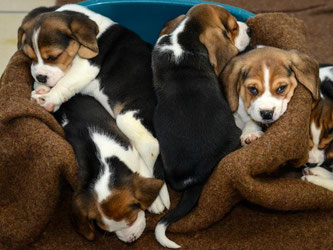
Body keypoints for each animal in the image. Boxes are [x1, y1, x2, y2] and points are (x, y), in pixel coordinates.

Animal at [17, 4, 169, 213]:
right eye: (29, 56)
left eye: (54, 57)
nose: (40, 77)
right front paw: (41, 89)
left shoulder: (86, 67)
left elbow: (65, 82)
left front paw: (48, 97)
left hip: (129, 120)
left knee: (152, 150)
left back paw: (157, 199)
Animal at [53, 94, 163, 242]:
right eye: (108, 231)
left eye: (133, 219)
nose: (131, 240)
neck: (103, 166)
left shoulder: (134, 155)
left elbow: (144, 172)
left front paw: (155, 203)